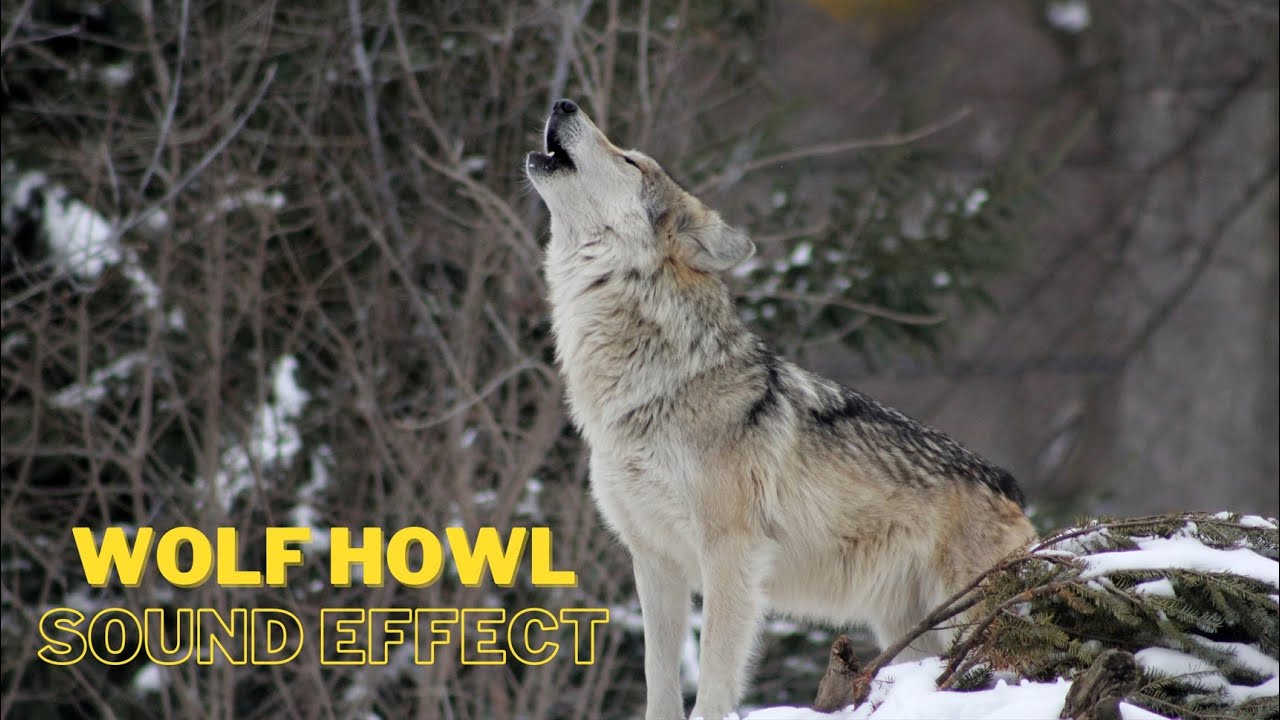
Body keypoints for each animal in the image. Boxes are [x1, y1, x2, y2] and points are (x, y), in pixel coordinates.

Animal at [526, 99, 1037, 720]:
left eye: (630, 160)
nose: (563, 103)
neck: (648, 386)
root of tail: (1010, 485)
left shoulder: (730, 555)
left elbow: (714, 680)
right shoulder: (653, 560)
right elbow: (659, 681)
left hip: (965, 619)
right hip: (911, 629)